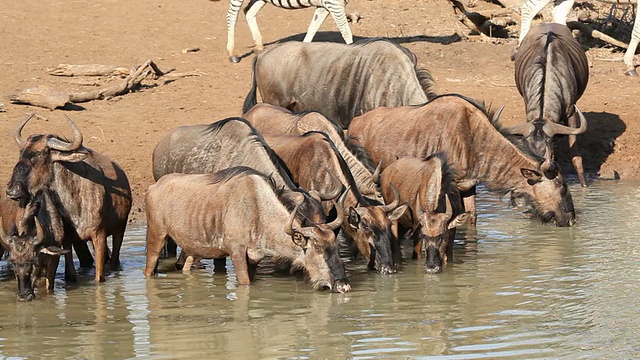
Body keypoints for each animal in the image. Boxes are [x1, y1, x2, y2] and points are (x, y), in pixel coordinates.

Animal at [226, 0, 356, 63]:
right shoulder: (335, 4)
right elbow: (347, 33)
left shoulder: (324, 6)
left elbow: (312, 29)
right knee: (232, 14)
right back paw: (232, 53)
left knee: (249, 11)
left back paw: (259, 46)